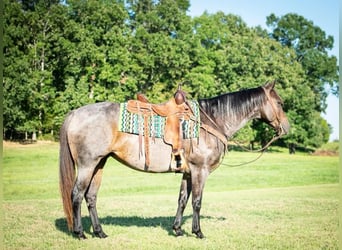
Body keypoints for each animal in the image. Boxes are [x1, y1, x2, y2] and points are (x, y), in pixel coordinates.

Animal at [58, 81, 288, 239]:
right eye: (279, 102)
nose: (286, 127)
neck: (211, 121)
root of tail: (75, 113)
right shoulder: (200, 171)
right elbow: (197, 201)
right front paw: (198, 232)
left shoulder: (188, 172)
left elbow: (182, 200)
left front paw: (177, 229)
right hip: (87, 165)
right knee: (77, 195)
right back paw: (80, 233)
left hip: (99, 164)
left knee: (91, 197)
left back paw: (99, 232)